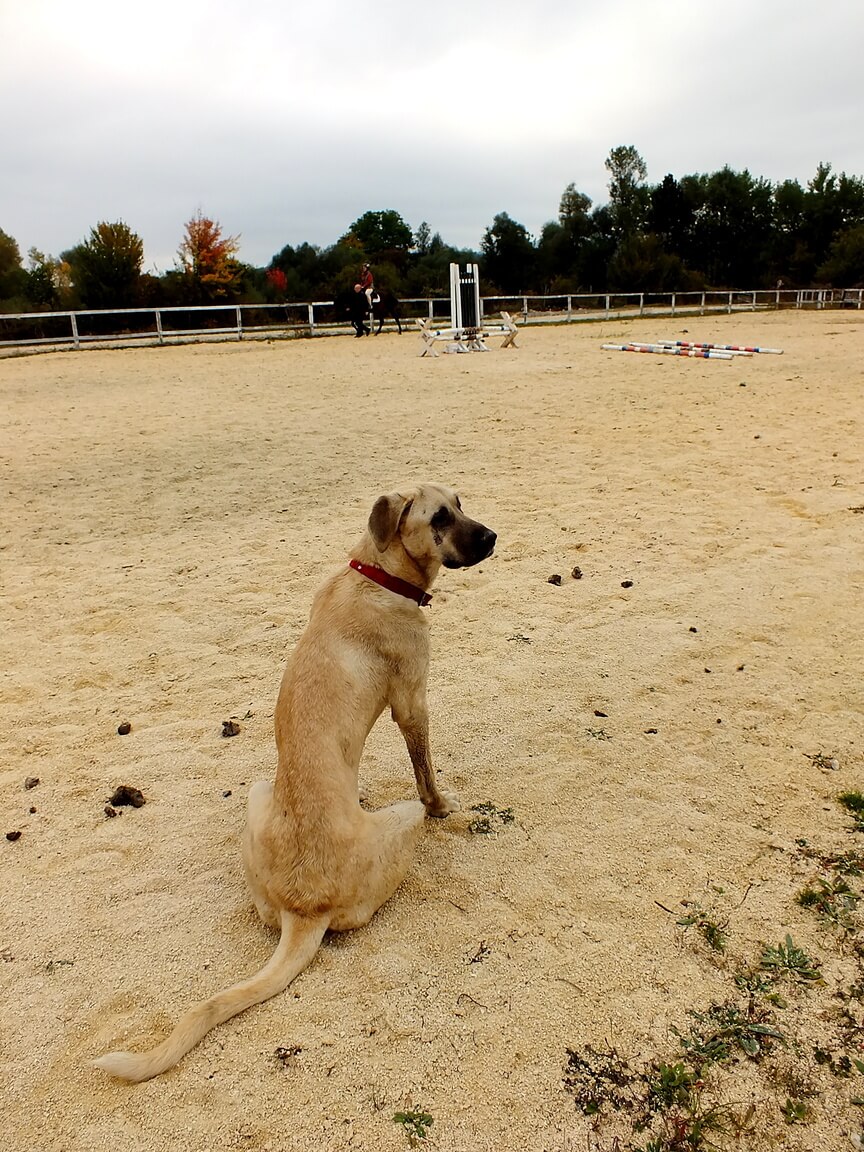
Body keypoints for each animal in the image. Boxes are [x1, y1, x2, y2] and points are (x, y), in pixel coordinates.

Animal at [94, 483, 497, 1078]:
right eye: (440, 517)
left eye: (461, 503)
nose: (492, 536)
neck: (378, 573)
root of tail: (304, 908)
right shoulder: (412, 703)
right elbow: (425, 768)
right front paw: (444, 802)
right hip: (399, 820)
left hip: (260, 793)